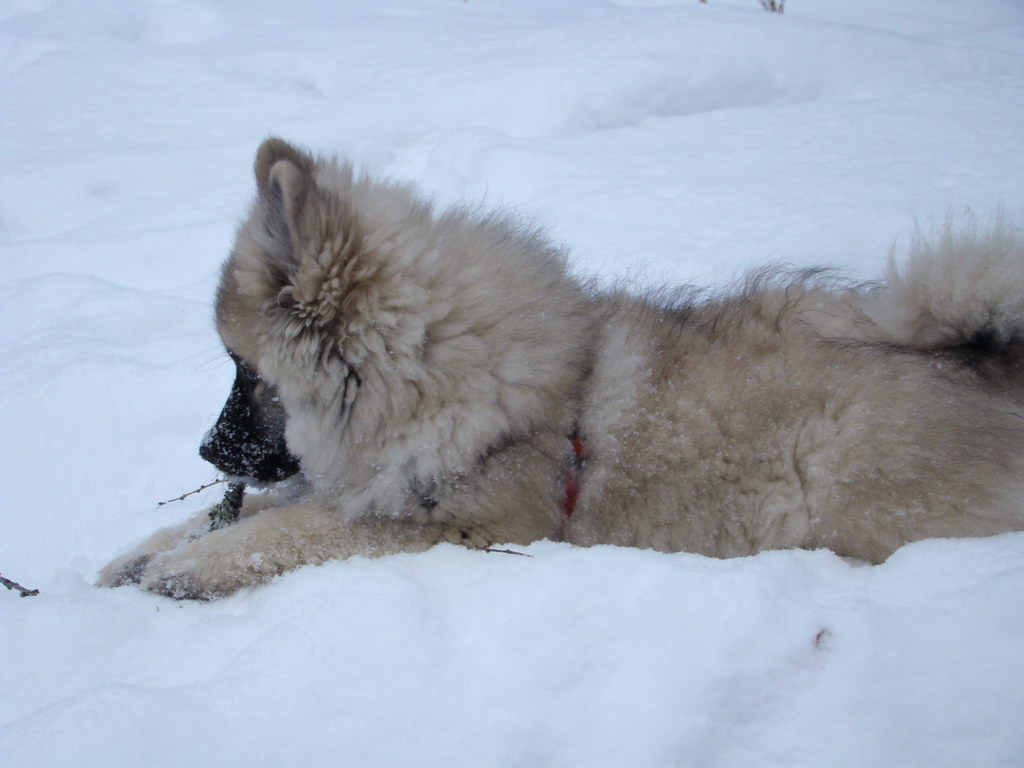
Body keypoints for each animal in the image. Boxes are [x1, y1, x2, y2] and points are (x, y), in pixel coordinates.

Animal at [99, 138, 1024, 602]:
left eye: (243, 369)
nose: (205, 453)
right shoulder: (372, 481)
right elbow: (260, 506)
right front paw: (140, 552)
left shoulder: (467, 525)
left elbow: (299, 528)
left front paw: (193, 565)